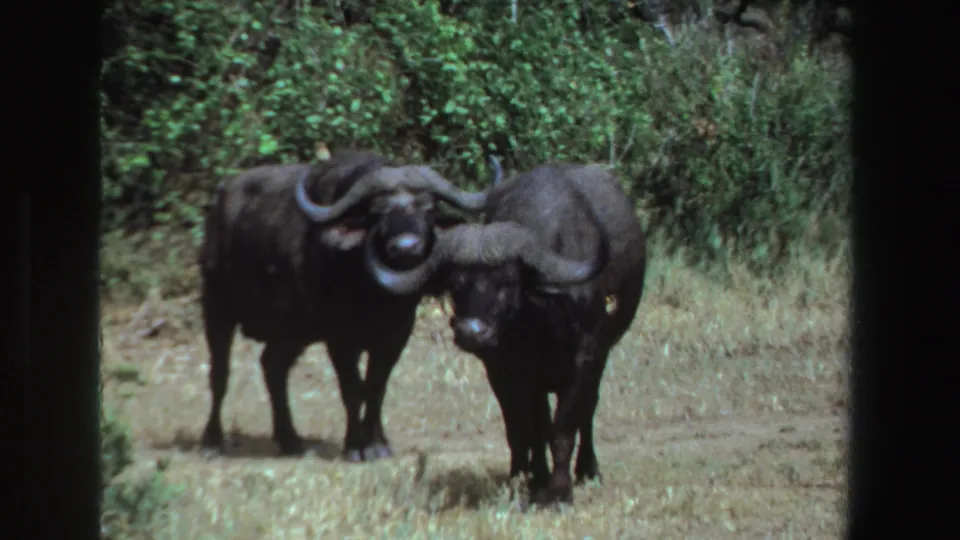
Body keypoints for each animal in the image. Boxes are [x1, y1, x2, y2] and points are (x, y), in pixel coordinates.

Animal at [198, 150, 498, 461]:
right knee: (220, 373)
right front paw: (355, 445)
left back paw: (290, 439)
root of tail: (221, 200)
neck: (374, 294)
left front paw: (377, 444)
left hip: (293, 330)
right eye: (378, 212)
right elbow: (352, 390)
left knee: (273, 366)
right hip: (216, 305)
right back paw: (212, 441)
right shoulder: (339, 339)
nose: (406, 247)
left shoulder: (396, 335)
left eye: (427, 209)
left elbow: (376, 388)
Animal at [365, 163, 647, 506]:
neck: (542, 321)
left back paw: (587, 470)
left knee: (587, 409)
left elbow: (565, 427)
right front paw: (533, 481)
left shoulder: (586, 358)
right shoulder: (512, 370)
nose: (470, 332)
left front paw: (560, 492)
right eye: (455, 283)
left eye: (508, 282)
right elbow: (530, 429)